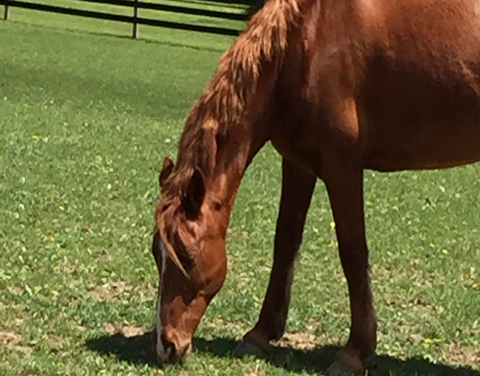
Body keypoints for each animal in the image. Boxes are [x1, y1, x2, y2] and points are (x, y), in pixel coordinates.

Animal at [152, 0, 480, 374]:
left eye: (187, 257)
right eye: (156, 252)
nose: (167, 345)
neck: (305, 43)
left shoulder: (342, 168)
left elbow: (353, 253)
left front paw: (354, 351)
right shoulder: (298, 163)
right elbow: (285, 243)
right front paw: (260, 334)